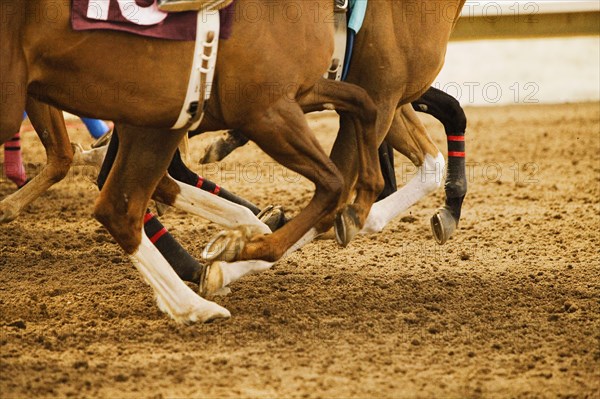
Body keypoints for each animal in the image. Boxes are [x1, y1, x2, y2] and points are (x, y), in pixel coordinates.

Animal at [1, 0, 384, 324]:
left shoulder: (292, 92)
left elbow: (363, 101)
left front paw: (362, 201)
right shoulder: (267, 110)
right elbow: (333, 183)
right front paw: (250, 249)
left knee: (119, 198)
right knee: (116, 201)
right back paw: (193, 304)